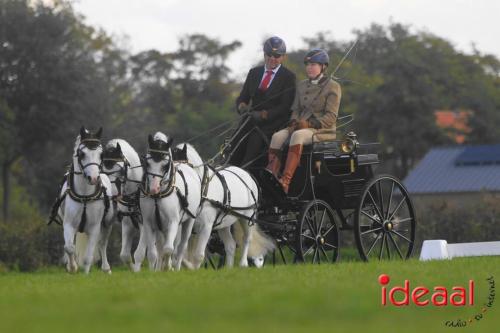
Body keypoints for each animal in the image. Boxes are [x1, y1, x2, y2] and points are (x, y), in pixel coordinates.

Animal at [57, 126, 114, 272]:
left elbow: (88, 257)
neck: (84, 196)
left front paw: (85, 273)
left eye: (101, 154)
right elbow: (69, 247)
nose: (93, 178)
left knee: (102, 244)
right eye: (82, 154)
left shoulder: (94, 227)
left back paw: (106, 268)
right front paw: (72, 267)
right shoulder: (69, 224)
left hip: (107, 224)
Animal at [101, 138, 148, 270]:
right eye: (103, 171)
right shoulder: (128, 223)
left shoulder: (145, 224)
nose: (112, 195)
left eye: (121, 170)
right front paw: (133, 269)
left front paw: (137, 270)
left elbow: (139, 253)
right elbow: (124, 255)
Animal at [136, 132, 202, 270]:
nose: (153, 189)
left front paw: (167, 267)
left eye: (165, 165)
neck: (158, 196)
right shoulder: (149, 223)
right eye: (147, 163)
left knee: (181, 247)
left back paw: (176, 268)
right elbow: (153, 253)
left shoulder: (173, 222)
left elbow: (168, 249)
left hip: (188, 222)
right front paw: (154, 271)